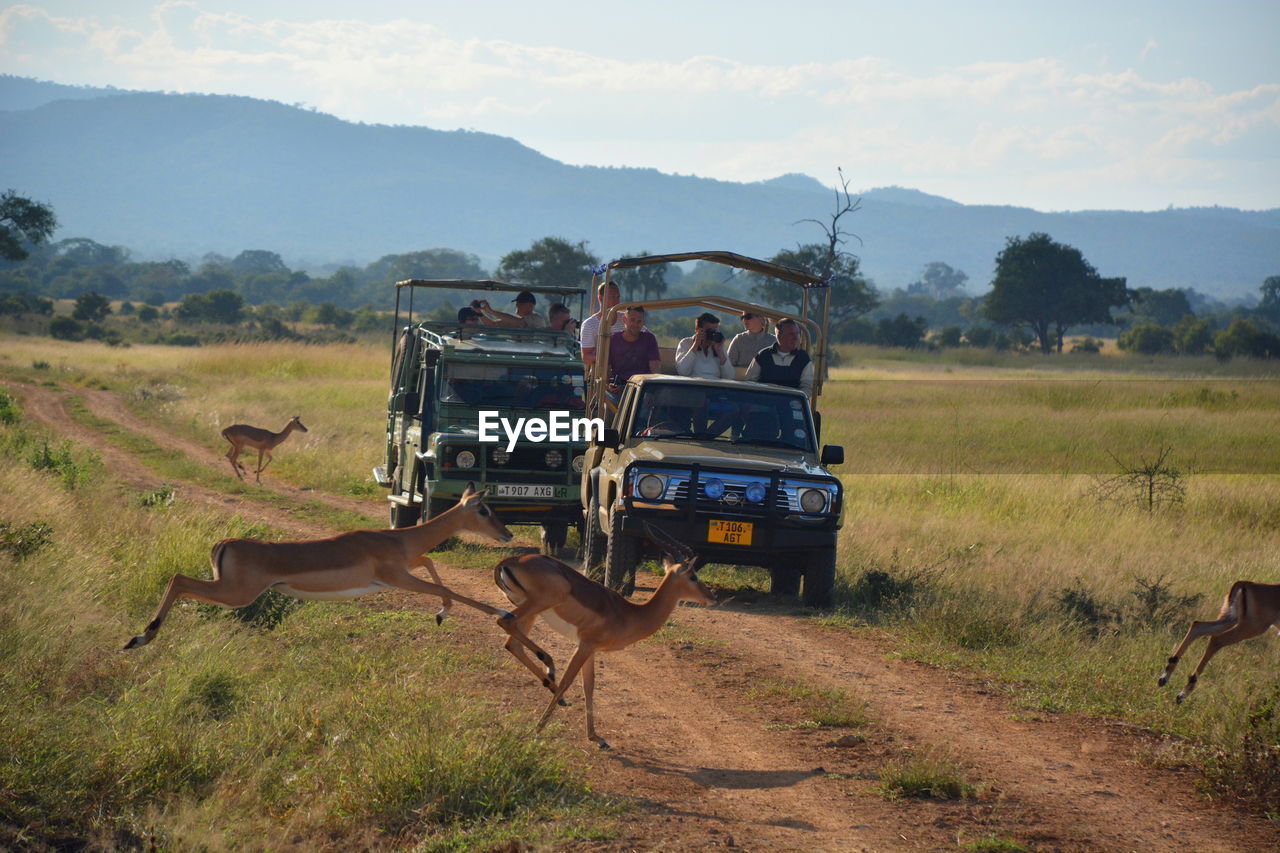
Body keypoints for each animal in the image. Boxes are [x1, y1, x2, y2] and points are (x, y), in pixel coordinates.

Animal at [124, 481, 550, 666]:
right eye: (484, 509)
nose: (508, 533)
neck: (396, 540)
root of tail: (225, 543)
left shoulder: (407, 565)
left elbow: (432, 566)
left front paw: (442, 613)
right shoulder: (396, 578)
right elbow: (462, 593)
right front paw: (501, 612)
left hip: (230, 591)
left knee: (180, 581)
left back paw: (139, 638)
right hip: (236, 594)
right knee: (179, 580)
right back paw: (138, 638)